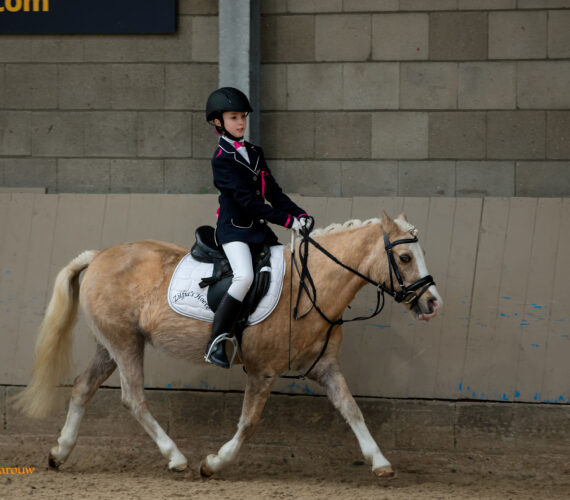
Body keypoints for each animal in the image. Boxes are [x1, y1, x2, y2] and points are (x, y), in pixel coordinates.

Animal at [13, 210, 440, 476]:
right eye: (405, 257)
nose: (433, 303)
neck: (311, 286)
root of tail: (99, 255)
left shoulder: (325, 367)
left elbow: (352, 411)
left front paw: (380, 462)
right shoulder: (263, 371)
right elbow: (248, 423)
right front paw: (214, 463)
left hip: (111, 345)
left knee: (82, 388)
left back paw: (60, 452)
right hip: (125, 344)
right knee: (133, 399)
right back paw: (177, 459)